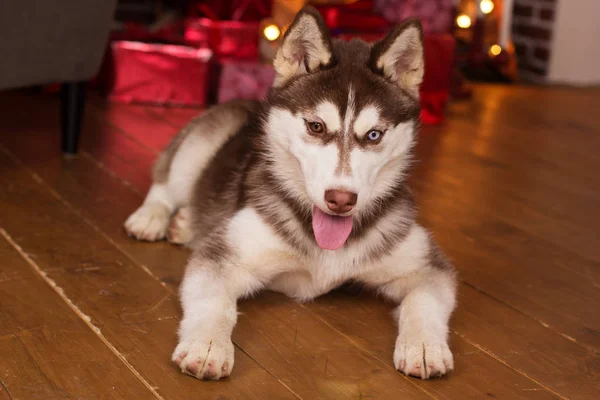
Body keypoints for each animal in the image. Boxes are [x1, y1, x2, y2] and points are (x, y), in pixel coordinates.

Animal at [124, 5, 458, 382]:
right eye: (316, 126)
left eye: (374, 135)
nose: (341, 199)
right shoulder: (223, 257)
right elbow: (215, 303)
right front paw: (207, 345)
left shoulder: (426, 265)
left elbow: (425, 300)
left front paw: (425, 346)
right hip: (204, 139)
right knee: (167, 179)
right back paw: (153, 217)